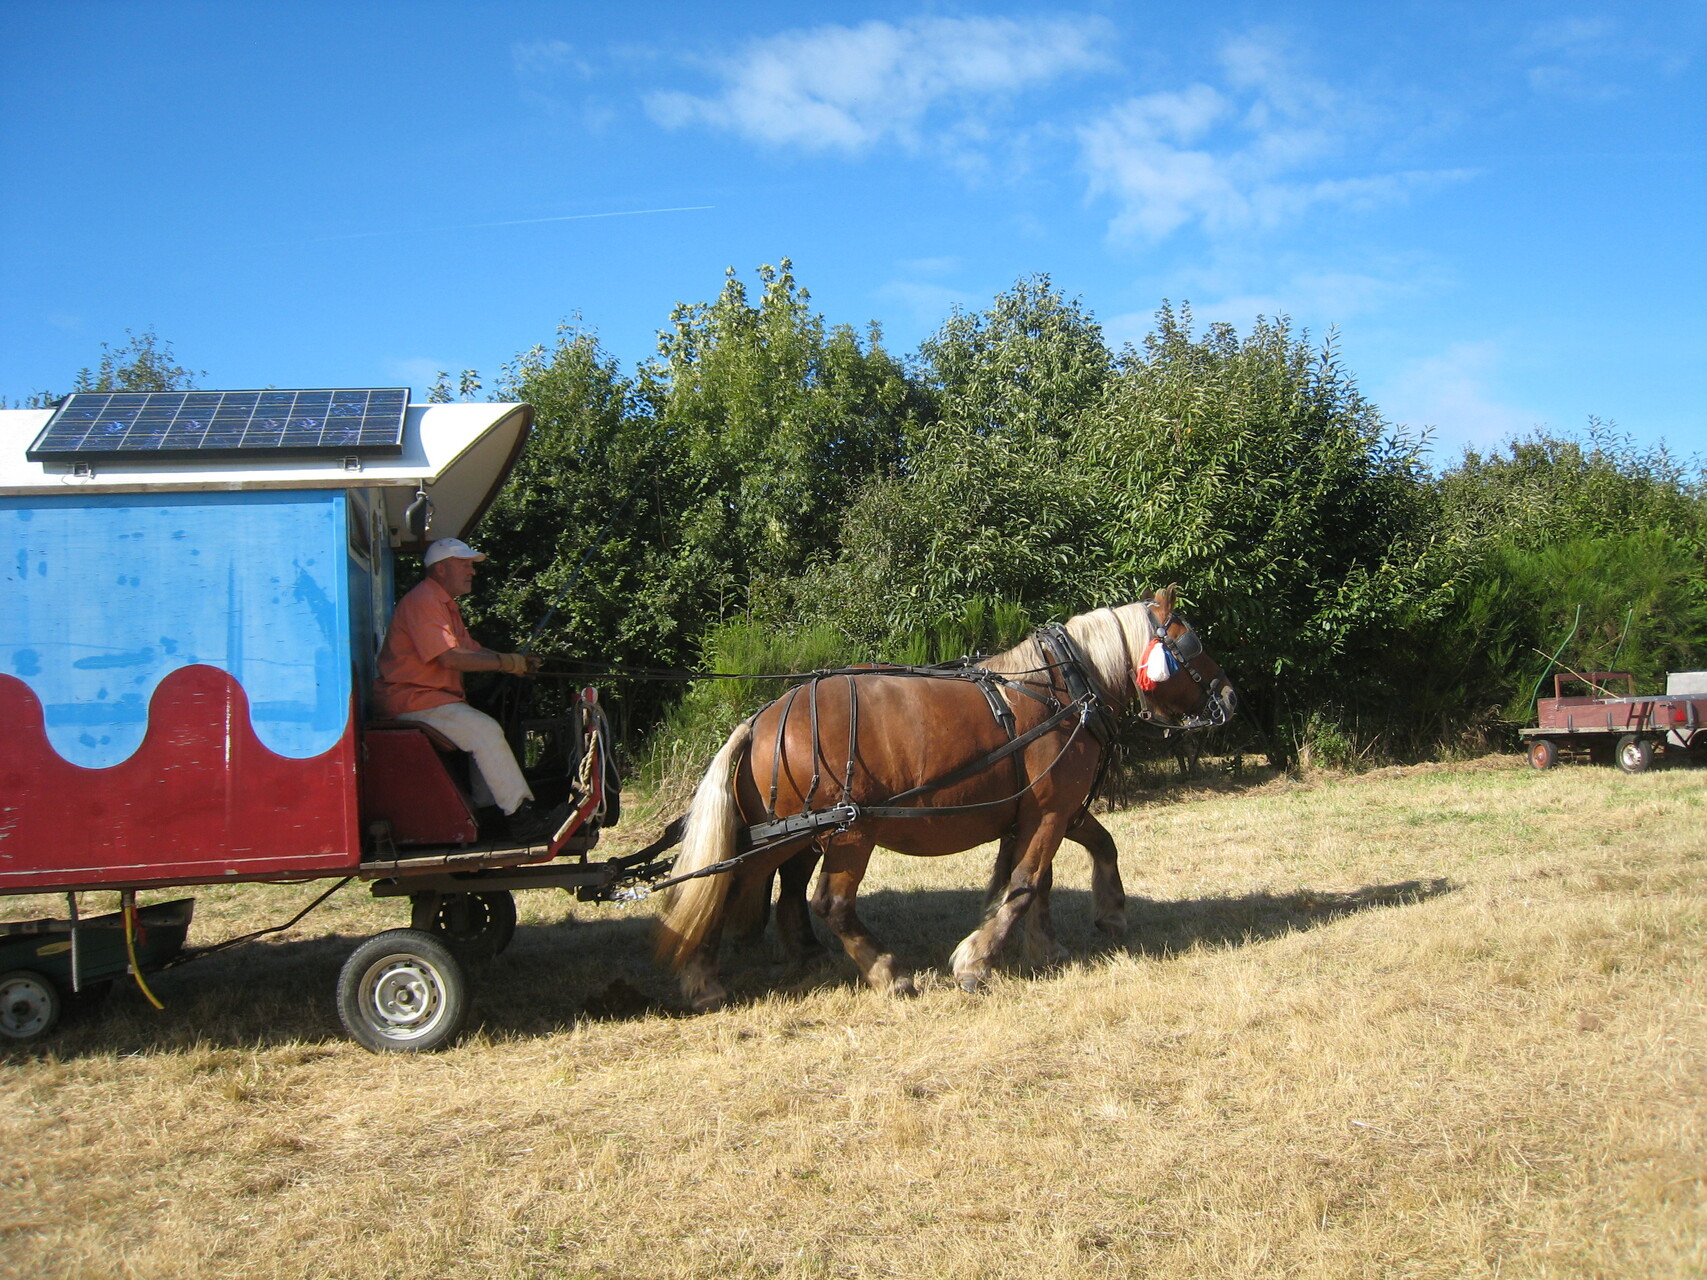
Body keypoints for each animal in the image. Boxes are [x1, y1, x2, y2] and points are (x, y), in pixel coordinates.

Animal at [654, 588, 1235, 1010]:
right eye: (1189, 643)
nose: (1229, 696)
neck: (1062, 690)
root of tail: (761, 719)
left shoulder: (1050, 810)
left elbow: (1071, 864)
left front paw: (1075, 932)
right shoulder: (1051, 809)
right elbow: (1024, 883)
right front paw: (976, 959)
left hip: (784, 835)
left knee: (750, 887)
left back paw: (733, 969)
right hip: (848, 831)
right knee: (818, 901)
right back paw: (883, 973)